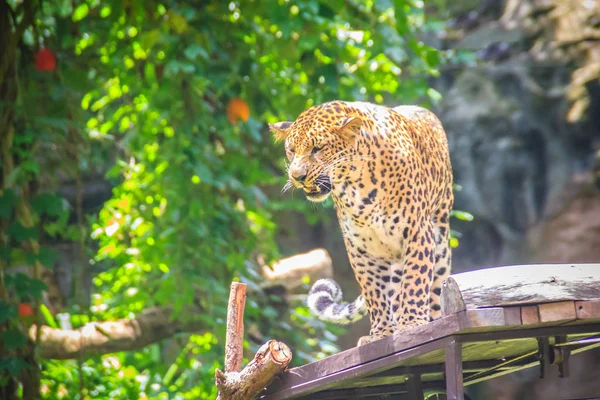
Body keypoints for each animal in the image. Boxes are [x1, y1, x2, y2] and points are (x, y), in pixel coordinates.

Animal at [270, 101, 452, 346]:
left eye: (318, 148)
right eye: (291, 150)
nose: (297, 177)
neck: (357, 184)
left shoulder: (417, 232)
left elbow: (415, 278)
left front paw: (413, 323)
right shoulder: (361, 248)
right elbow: (374, 292)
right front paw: (381, 334)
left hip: (440, 239)